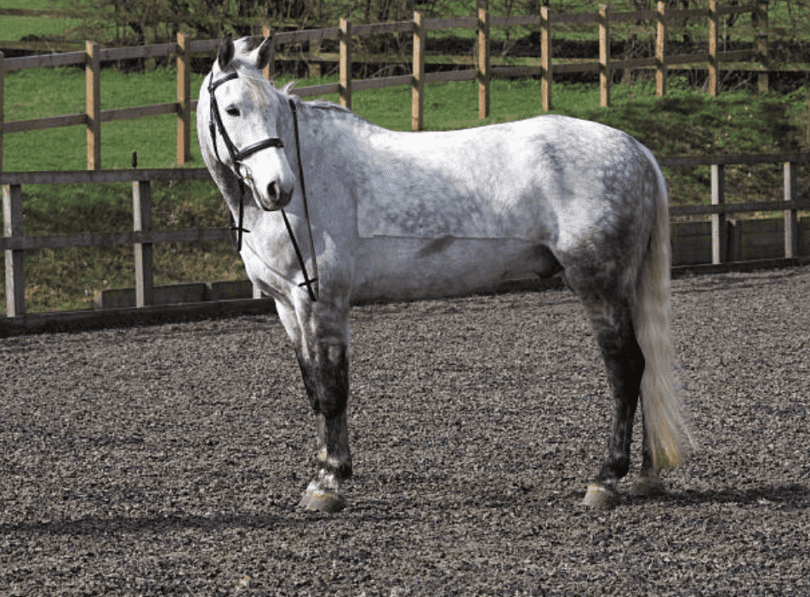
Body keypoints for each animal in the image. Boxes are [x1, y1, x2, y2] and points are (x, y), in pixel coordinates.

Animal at [197, 35, 692, 512]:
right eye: (232, 109)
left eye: (273, 109)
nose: (277, 188)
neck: (312, 175)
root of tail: (637, 150)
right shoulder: (288, 307)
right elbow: (315, 391)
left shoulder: (324, 303)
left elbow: (333, 389)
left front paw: (328, 482)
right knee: (643, 368)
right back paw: (645, 477)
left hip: (599, 286)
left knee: (626, 369)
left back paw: (606, 479)